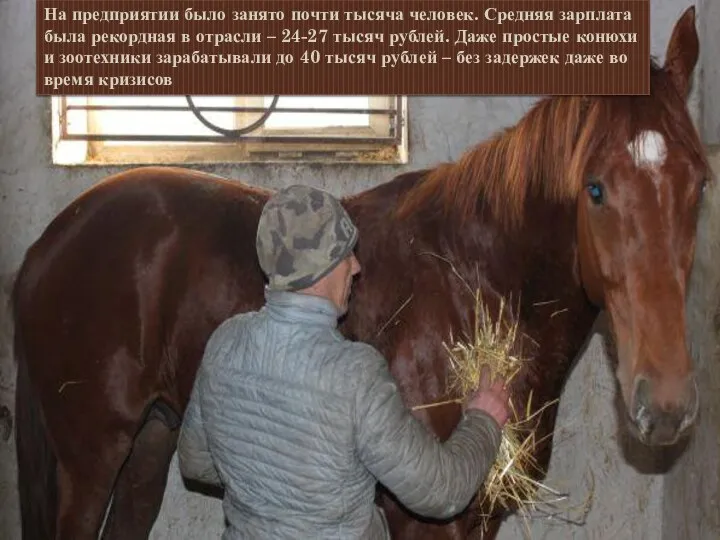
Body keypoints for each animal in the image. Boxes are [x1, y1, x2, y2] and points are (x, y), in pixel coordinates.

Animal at [11, 8, 708, 540]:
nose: (665, 405)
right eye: (595, 189)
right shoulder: (426, 517)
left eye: (700, 182)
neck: (475, 282)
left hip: (149, 448)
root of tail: (54, 240)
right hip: (91, 460)